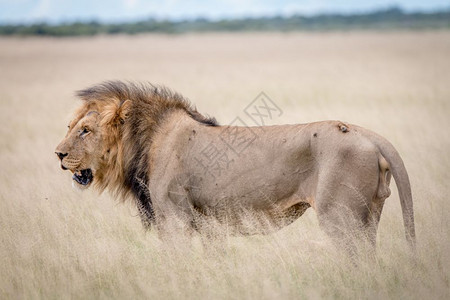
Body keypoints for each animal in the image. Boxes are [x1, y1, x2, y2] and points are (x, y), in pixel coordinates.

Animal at [55, 80, 414, 253]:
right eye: (69, 126)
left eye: (85, 130)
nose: (58, 154)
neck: (145, 141)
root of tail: (371, 136)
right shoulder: (208, 224)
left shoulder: (174, 220)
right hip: (369, 217)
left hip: (341, 218)